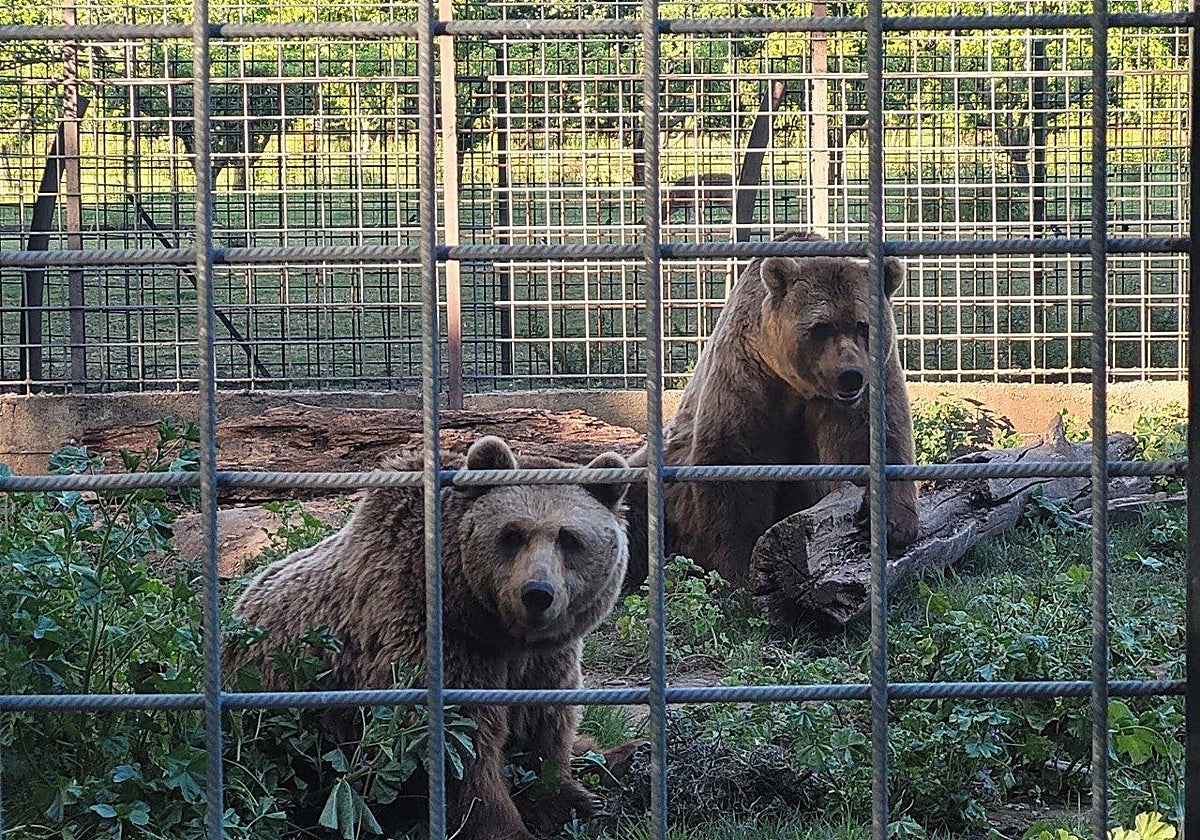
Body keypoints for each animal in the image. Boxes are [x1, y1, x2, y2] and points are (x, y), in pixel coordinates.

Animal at [226, 435, 632, 840]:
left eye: (569, 538)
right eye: (512, 534)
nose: (537, 593)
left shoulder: (545, 656)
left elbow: (544, 719)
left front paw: (572, 797)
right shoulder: (435, 636)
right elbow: (462, 746)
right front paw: (506, 825)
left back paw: (620, 752)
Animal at [624, 230, 919, 588]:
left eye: (863, 326)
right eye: (820, 326)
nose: (850, 375)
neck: (798, 385)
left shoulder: (871, 382)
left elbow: (872, 442)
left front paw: (887, 524)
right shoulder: (748, 378)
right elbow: (736, 463)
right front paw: (740, 563)